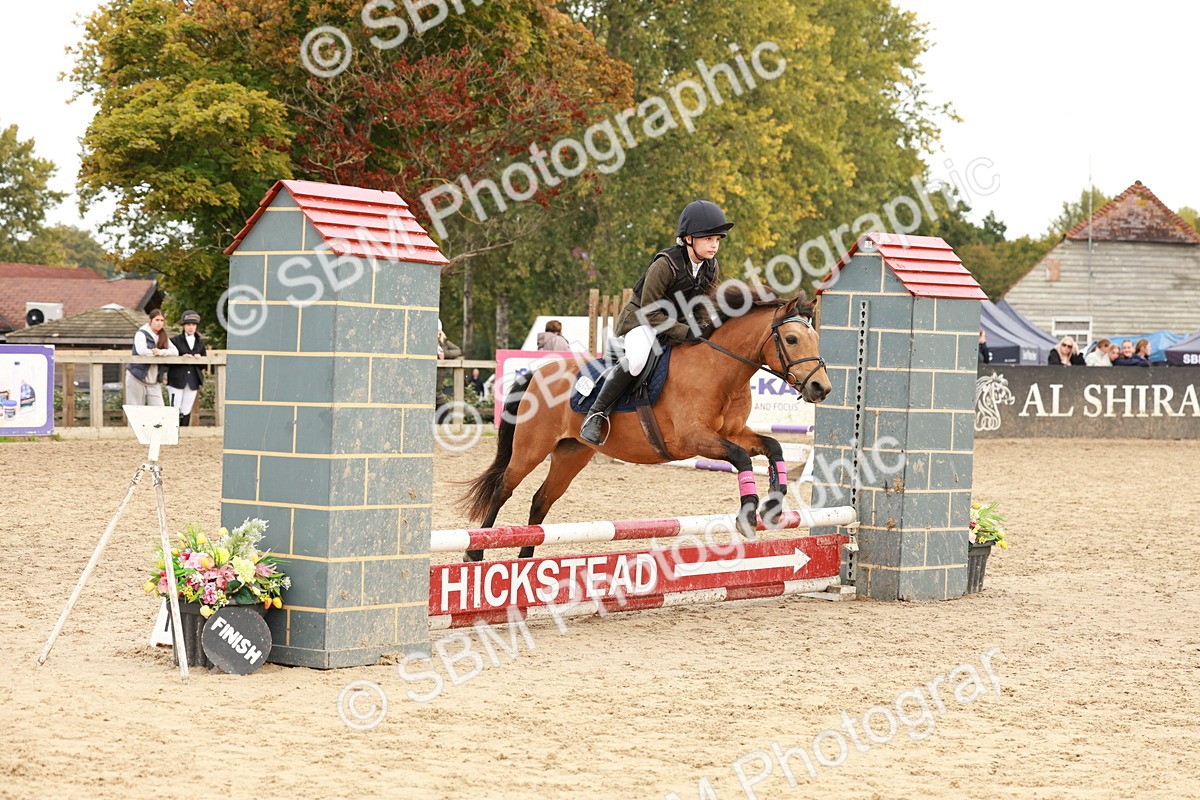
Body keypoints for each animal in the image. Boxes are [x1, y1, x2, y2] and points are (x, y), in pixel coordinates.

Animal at [461, 290, 831, 561]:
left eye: (815, 338)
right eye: (792, 339)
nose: (821, 388)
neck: (720, 369)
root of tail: (538, 372)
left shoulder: (732, 433)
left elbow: (773, 446)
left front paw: (774, 504)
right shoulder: (692, 439)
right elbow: (740, 458)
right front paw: (748, 515)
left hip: (572, 453)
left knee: (541, 499)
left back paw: (525, 559)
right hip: (532, 448)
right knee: (503, 489)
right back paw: (475, 553)